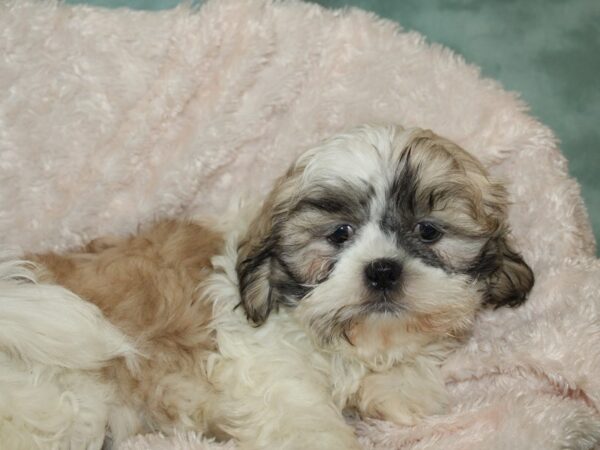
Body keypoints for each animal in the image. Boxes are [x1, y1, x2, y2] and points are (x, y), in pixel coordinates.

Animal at [0, 124, 536, 450]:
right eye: (339, 234)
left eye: (428, 232)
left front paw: (400, 386)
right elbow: (303, 413)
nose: (383, 270)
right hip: (66, 401)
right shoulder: (269, 367)